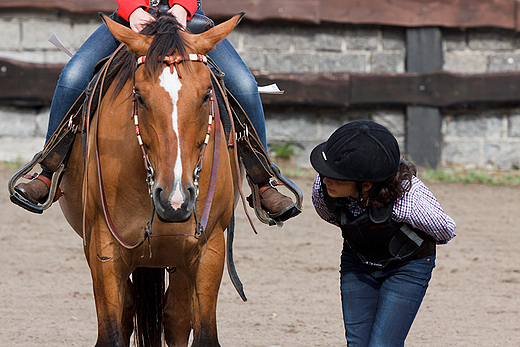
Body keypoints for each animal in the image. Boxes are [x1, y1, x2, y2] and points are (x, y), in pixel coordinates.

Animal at [58, 12, 245, 347]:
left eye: (206, 95)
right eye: (139, 97)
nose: (175, 200)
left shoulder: (210, 249)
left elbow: (202, 333)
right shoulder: (104, 249)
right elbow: (112, 332)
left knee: (176, 317)